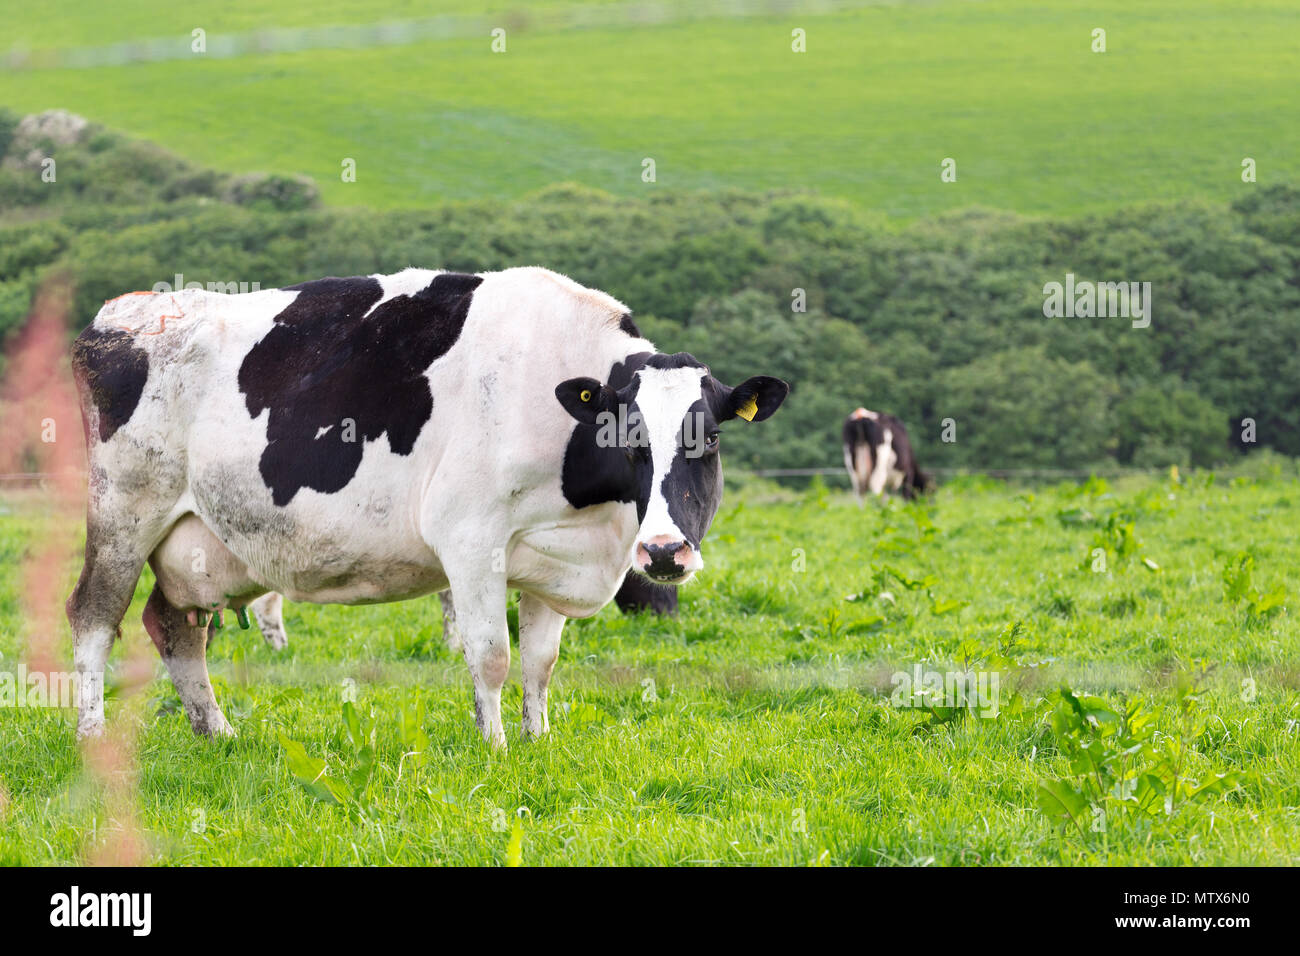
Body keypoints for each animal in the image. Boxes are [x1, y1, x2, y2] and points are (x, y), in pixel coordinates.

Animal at [67, 267, 787, 747]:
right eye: (627, 438)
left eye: (710, 439)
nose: (664, 552)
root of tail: (126, 311)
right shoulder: (469, 539)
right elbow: (491, 654)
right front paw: (495, 749)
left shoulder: (554, 557)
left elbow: (540, 662)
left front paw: (537, 741)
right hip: (125, 512)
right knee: (94, 618)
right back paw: (92, 736)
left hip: (199, 544)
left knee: (175, 625)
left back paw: (217, 732)